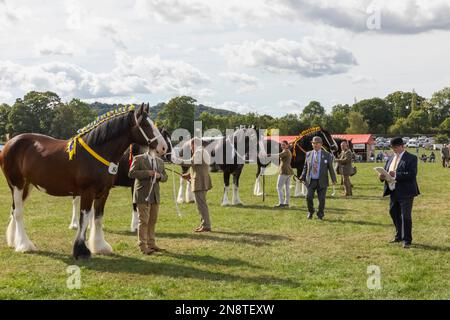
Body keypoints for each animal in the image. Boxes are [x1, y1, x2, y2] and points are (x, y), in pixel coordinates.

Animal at [0, 104, 167, 258]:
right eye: (145, 125)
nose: (163, 147)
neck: (99, 151)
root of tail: (10, 142)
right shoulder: (87, 192)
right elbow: (84, 219)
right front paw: (81, 250)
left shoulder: (103, 193)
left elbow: (98, 218)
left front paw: (100, 246)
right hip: (16, 184)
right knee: (18, 212)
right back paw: (24, 245)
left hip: (26, 186)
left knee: (14, 210)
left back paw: (15, 241)